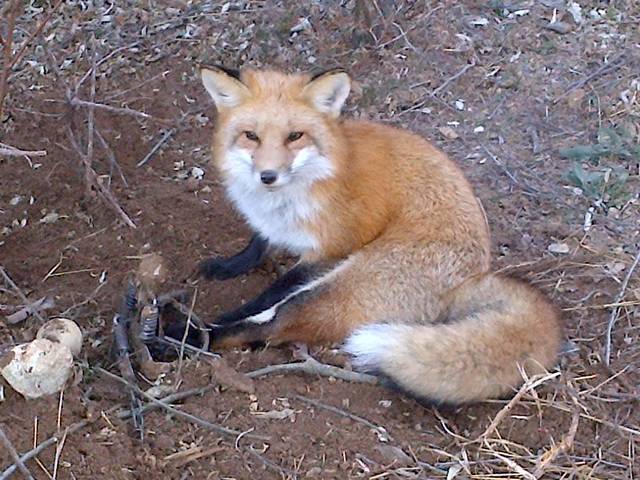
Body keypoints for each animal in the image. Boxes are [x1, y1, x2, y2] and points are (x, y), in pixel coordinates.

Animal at [195, 65, 563, 405]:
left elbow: (270, 293)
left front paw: (233, 310)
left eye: (295, 136)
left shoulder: (333, 246)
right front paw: (227, 266)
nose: (268, 176)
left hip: (341, 285)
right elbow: (257, 245)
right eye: (251, 136)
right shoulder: (270, 226)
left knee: (272, 326)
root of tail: (472, 280)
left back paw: (193, 334)